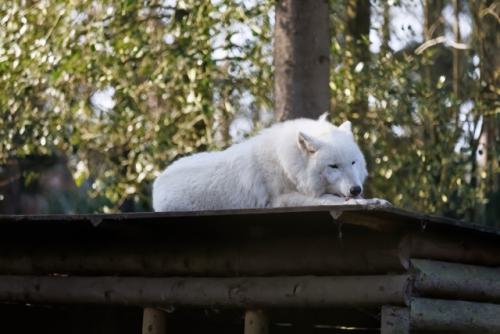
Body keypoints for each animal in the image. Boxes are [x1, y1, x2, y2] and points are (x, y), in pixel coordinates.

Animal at [152, 115, 390, 211]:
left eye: (353, 162)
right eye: (334, 166)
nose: (356, 188)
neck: (288, 165)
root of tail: (157, 181)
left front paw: (372, 199)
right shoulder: (282, 200)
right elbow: (332, 200)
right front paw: (364, 202)